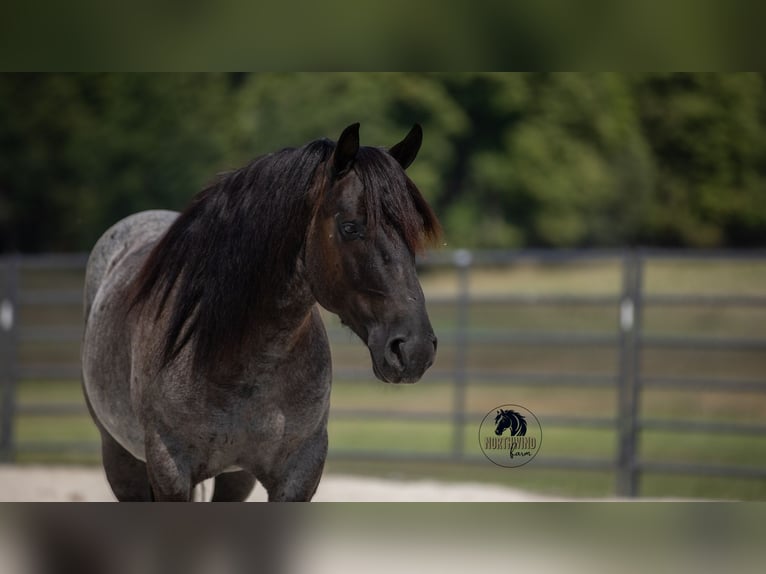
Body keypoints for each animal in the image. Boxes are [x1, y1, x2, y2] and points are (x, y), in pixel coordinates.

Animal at [81, 123, 441, 501]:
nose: (414, 349)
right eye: (350, 227)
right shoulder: (170, 472)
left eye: (413, 234)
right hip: (121, 459)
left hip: (235, 478)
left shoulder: (298, 473)